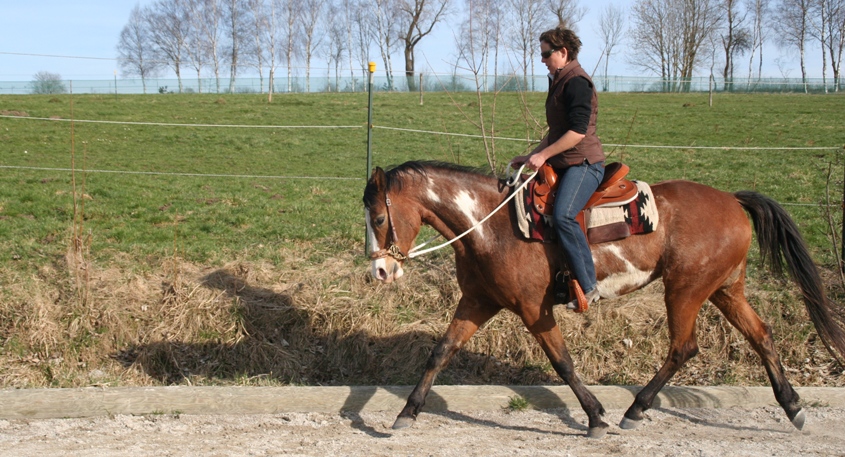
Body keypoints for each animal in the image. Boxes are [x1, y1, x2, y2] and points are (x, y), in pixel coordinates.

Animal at [362, 160, 844, 438]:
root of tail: (732, 199)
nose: (379, 271)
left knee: (683, 347)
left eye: (380, 217)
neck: (490, 225)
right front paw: (407, 412)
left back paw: (636, 408)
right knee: (761, 336)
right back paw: (793, 407)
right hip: (725, 289)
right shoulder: (478, 303)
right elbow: (440, 352)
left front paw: (595, 416)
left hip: (685, 290)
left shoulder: (533, 310)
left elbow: (563, 363)